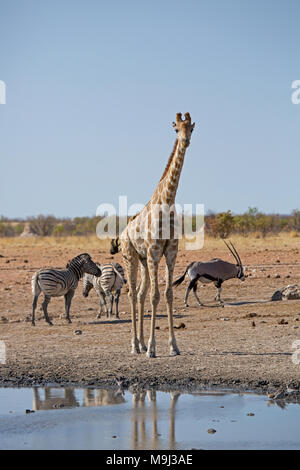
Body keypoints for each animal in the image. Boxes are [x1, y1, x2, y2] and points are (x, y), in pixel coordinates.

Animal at [119, 112, 195, 358]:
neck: (167, 200)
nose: (185, 141)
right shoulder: (154, 251)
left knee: (140, 294)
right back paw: (135, 345)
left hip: (144, 260)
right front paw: (152, 349)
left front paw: (173, 346)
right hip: (131, 257)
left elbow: (168, 294)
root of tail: (122, 233)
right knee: (132, 294)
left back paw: (141, 343)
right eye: (176, 129)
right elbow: (155, 296)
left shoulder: (170, 252)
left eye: (191, 128)